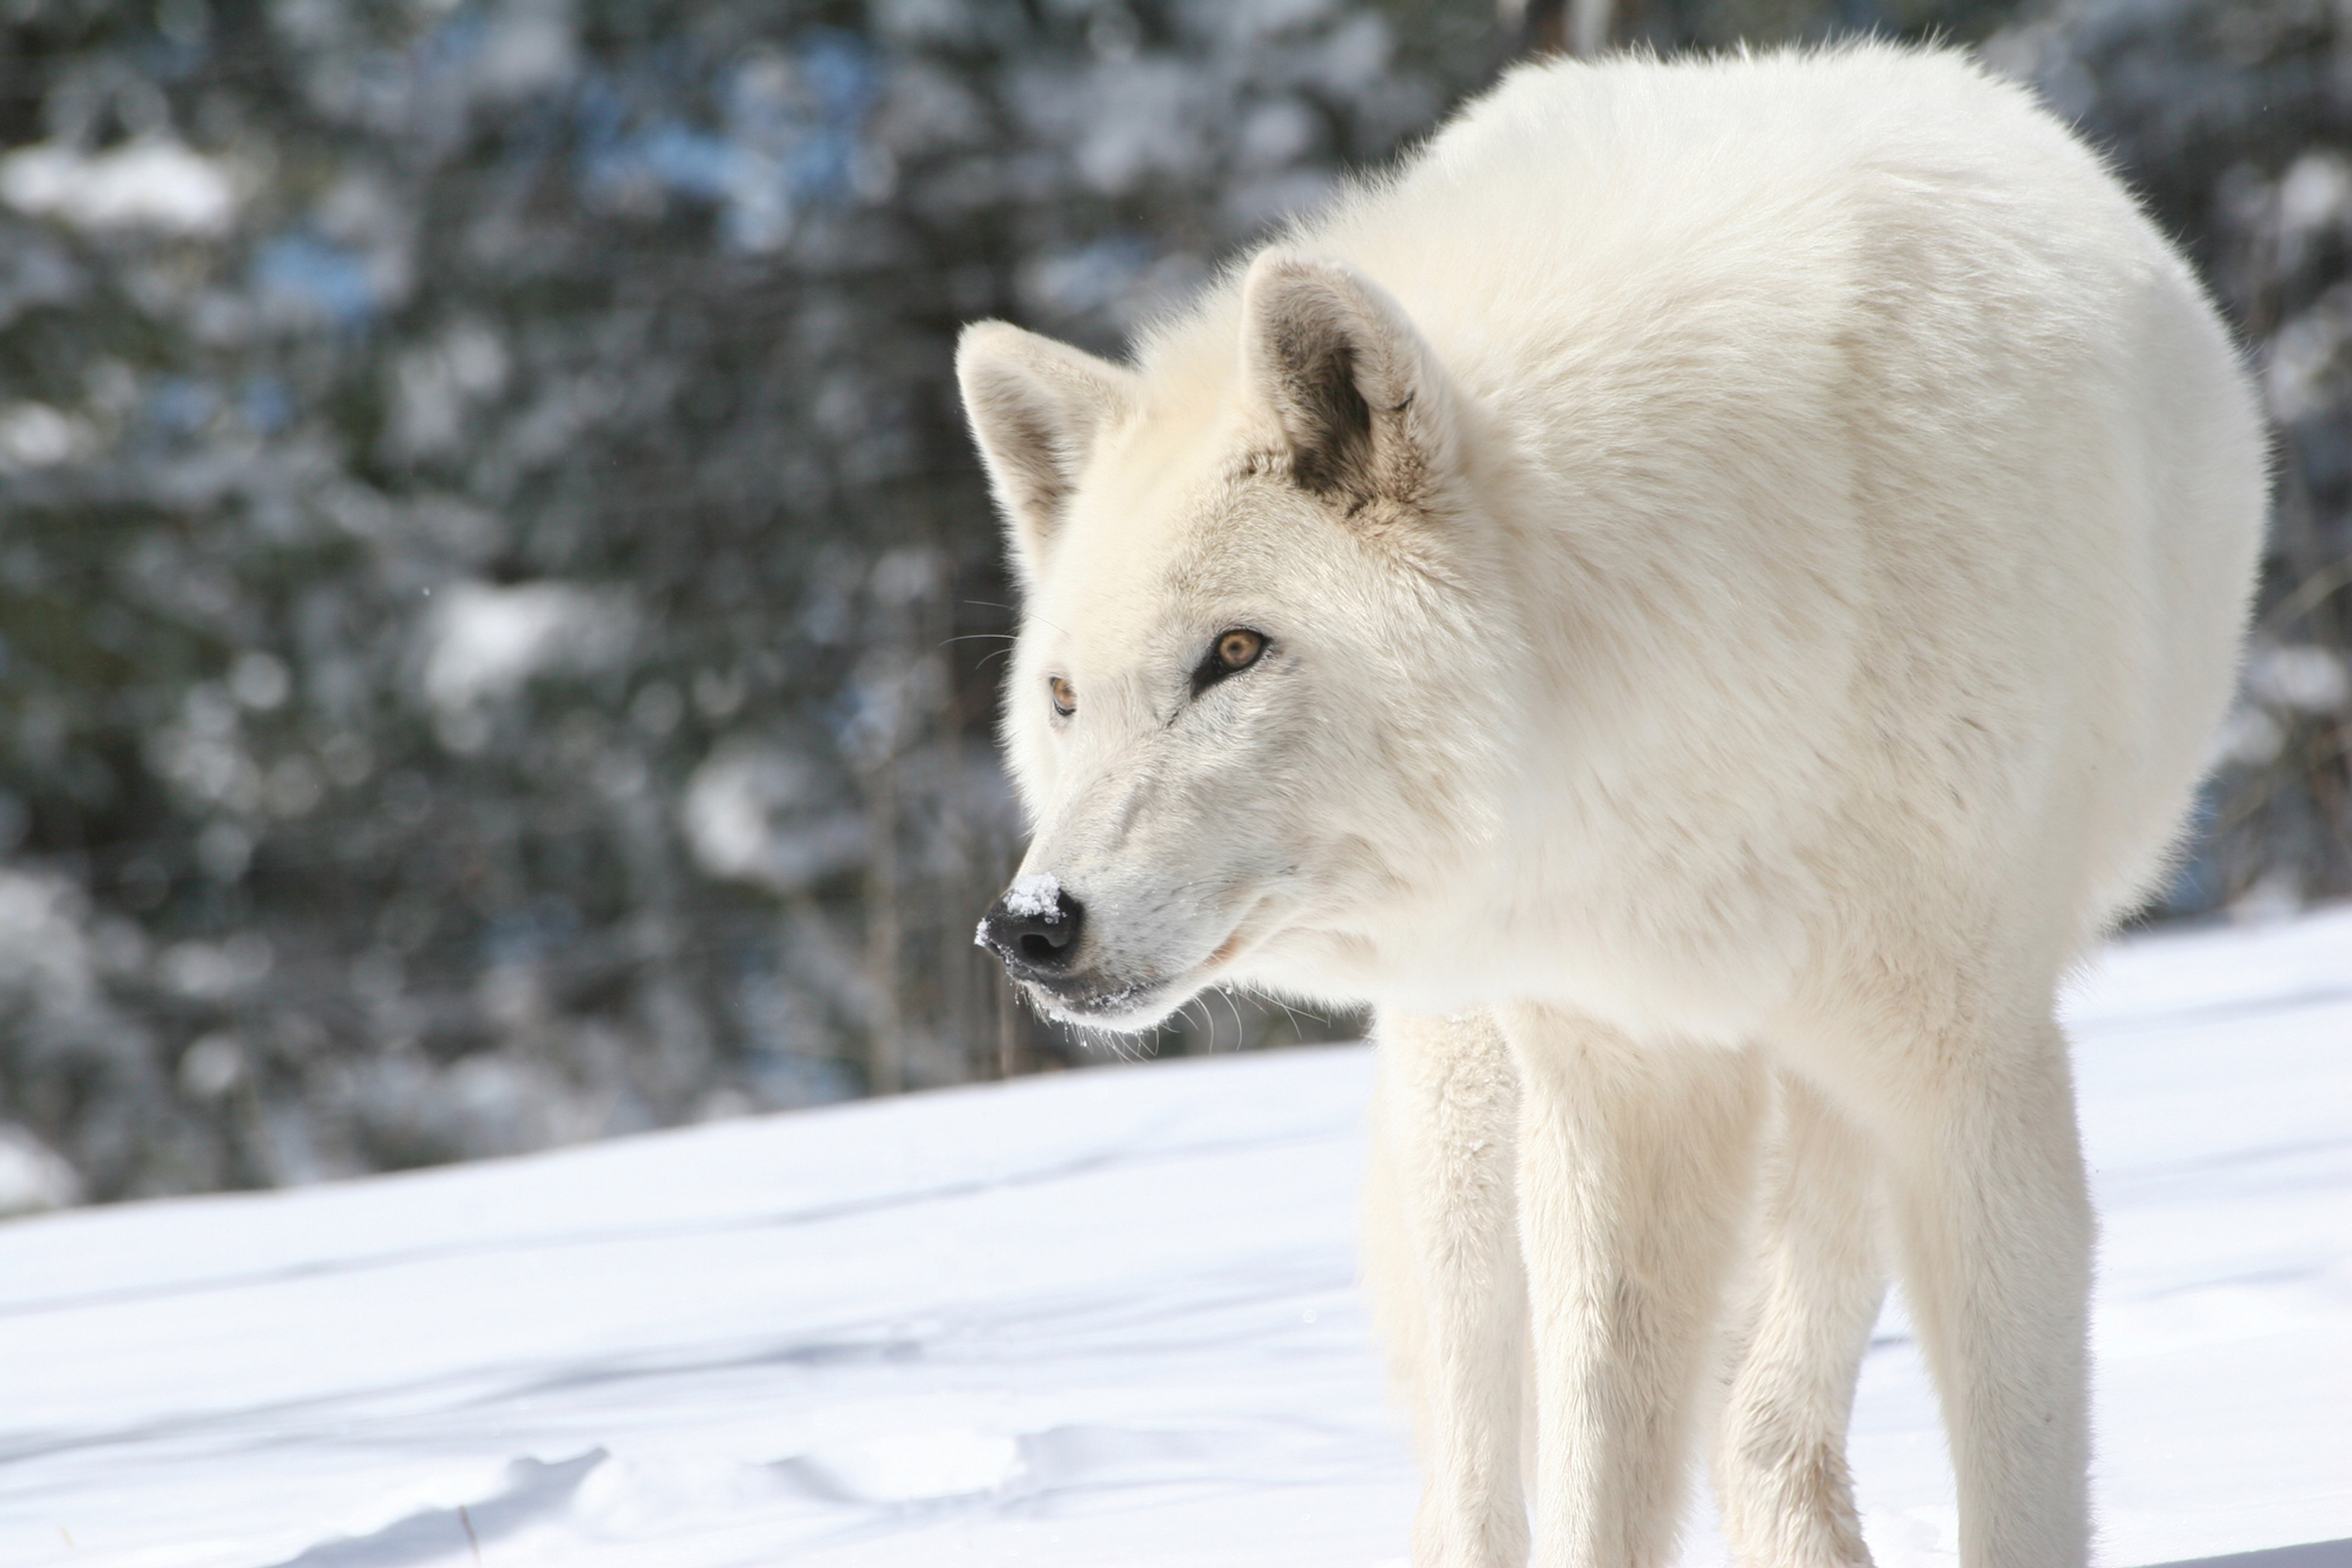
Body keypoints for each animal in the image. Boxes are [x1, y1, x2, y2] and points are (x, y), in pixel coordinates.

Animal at [962, 44, 2265, 1568]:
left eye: (1233, 651)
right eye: (1064, 697)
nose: (1027, 927)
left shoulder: (1962, 1069)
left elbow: (2011, 1477)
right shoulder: (1615, 1068)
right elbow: (1595, 1472)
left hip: (1821, 1096)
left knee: (1766, 1418)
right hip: (1476, 1107)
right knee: (1482, 1461)